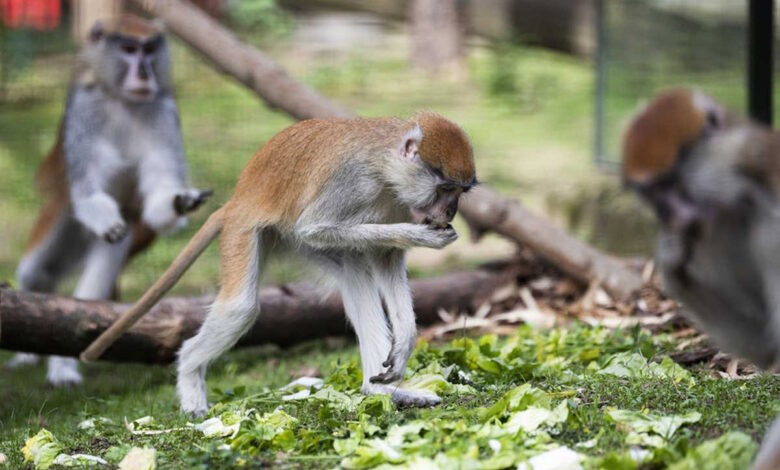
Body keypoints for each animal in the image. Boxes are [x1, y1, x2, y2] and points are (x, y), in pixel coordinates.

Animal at [7, 15, 209, 386]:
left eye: (149, 48)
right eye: (128, 49)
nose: (144, 72)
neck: (123, 101)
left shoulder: (163, 112)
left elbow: (158, 196)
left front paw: (178, 202)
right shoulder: (84, 113)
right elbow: (88, 193)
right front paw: (105, 220)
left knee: (85, 295)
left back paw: (63, 362)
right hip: (61, 217)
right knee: (37, 272)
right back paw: (29, 355)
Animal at [84, 110, 476, 414]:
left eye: (460, 192)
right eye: (444, 189)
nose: (450, 211)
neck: (386, 164)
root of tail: (237, 198)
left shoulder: (397, 201)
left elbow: (385, 257)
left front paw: (405, 340)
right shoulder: (351, 182)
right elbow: (315, 228)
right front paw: (425, 237)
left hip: (282, 237)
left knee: (355, 274)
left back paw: (380, 391)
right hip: (243, 231)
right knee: (241, 308)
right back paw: (189, 376)